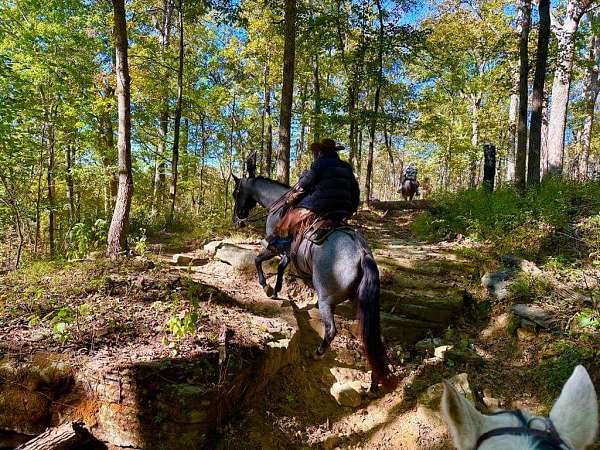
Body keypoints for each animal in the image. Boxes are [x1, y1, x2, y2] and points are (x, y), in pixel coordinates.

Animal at [232, 154, 396, 390]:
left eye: (236, 192)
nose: (237, 219)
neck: (278, 206)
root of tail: (362, 252)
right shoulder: (288, 252)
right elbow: (281, 266)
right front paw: (277, 288)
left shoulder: (273, 246)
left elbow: (258, 260)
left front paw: (266, 287)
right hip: (360, 302)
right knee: (370, 338)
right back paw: (374, 382)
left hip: (326, 299)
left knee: (331, 330)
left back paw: (318, 354)